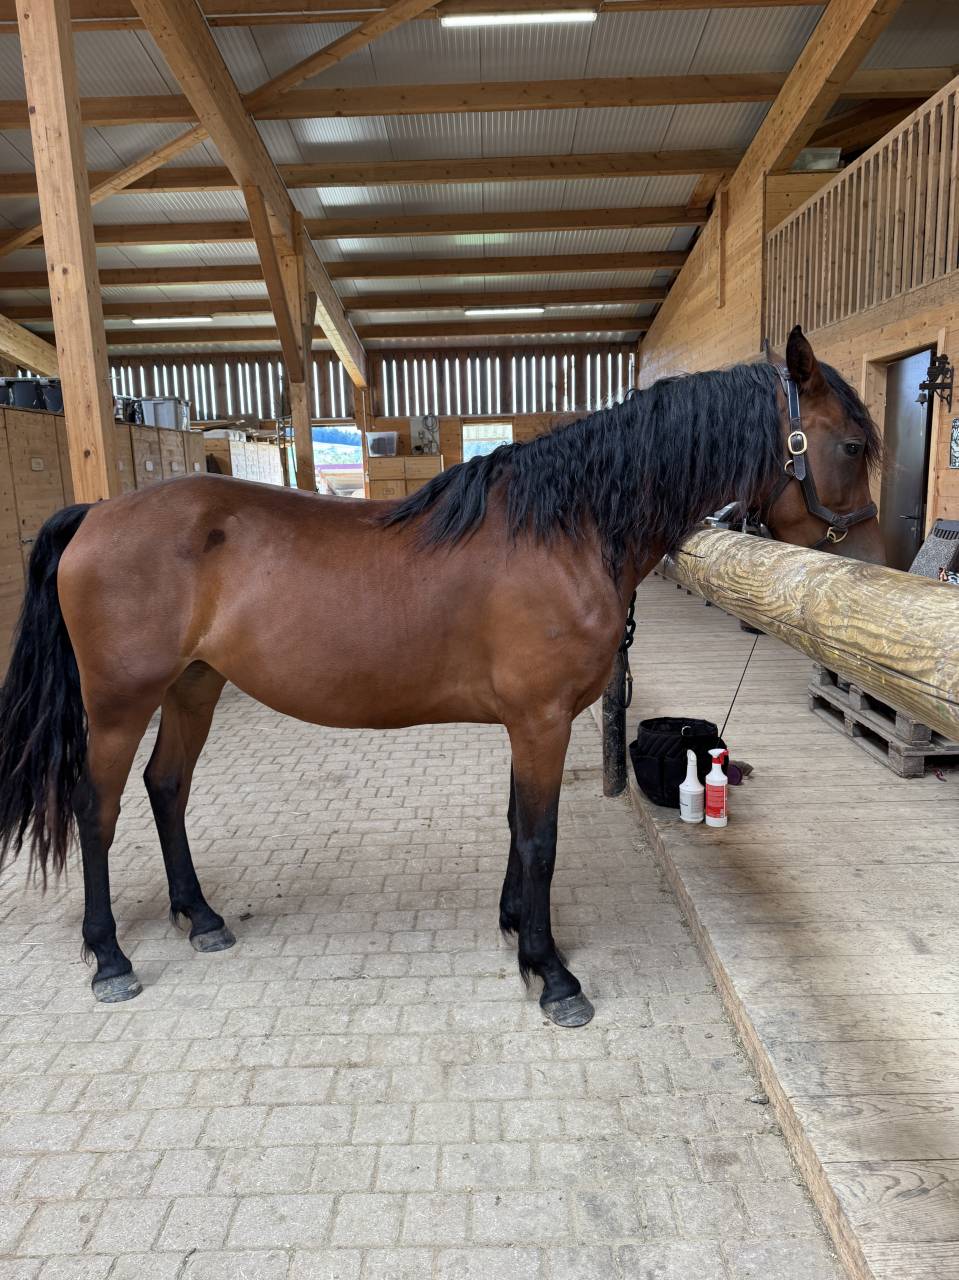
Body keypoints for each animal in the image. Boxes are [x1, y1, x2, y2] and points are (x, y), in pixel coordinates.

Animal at [0, 326, 882, 1026]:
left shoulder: (530, 723)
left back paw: (201, 915)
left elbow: (514, 824)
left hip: (194, 685)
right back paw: (110, 957)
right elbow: (539, 839)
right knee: (96, 807)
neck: (566, 529)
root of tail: (97, 514)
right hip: (121, 702)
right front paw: (551, 973)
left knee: (167, 787)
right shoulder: (541, 720)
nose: (873, 566)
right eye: (849, 445)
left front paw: (514, 930)